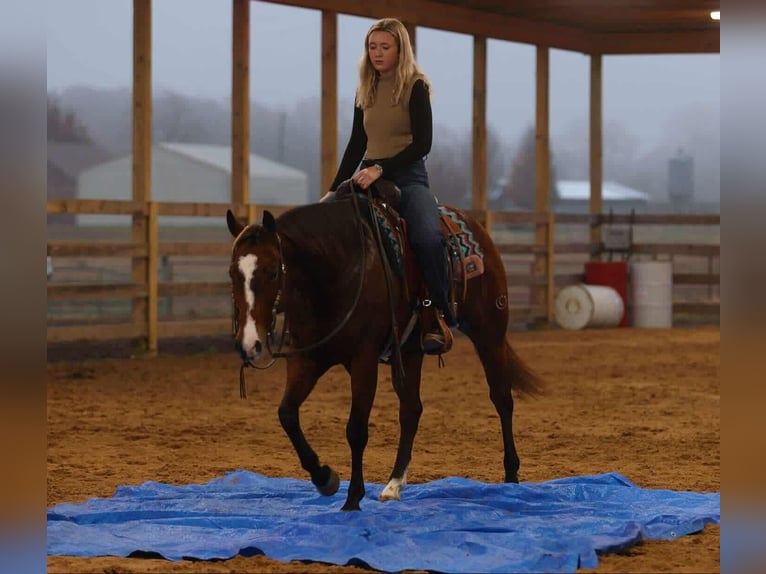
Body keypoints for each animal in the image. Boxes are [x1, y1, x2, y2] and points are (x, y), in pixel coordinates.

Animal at [226, 189, 543, 511]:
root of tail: (474, 226)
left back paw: (511, 476)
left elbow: (356, 429)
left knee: (502, 398)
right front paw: (325, 478)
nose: (249, 343)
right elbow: (287, 414)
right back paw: (393, 484)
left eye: (270, 272)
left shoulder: (363, 359)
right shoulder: (307, 359)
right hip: (411, 351)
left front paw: (352, 498)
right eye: (232, 273)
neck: (333, 273)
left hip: (489, 333)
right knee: (412, 409)